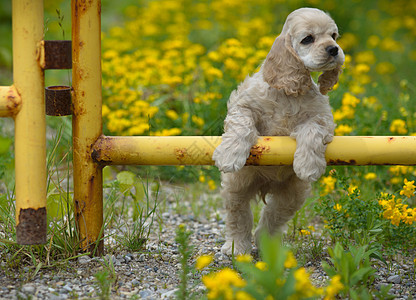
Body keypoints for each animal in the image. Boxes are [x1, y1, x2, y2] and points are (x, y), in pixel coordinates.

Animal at [211, 7, 344, 255]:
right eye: (308, 39)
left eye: (333, 36)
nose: (334, 49)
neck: (289, 92)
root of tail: (266, 185)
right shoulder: (243, 106)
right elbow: (242, 126)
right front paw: (230, 155)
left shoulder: (322, 118)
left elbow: (311, 131)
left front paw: (308, 165)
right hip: (237, 186)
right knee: (239, 216)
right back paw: (237, 247)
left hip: (291, 195)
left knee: (272, 218)